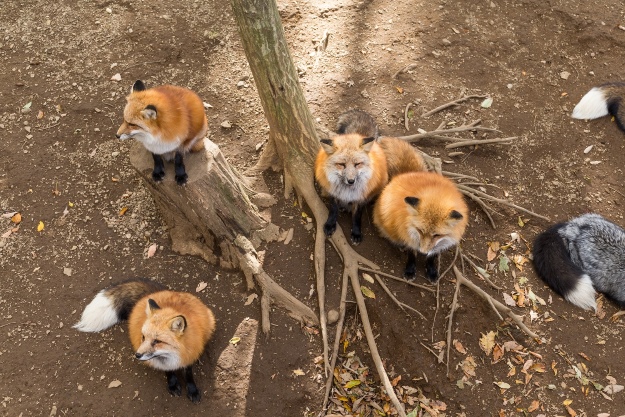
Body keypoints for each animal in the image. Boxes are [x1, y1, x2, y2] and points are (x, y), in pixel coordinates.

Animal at [72, 278, 214, 402]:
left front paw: (192, 390)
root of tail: (154, 293)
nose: (137, 355)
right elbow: (168, 372)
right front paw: (172, 384)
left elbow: (189, 375)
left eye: (157, 341)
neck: (172, 356)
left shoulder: (190, 354)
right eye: (144, 337)